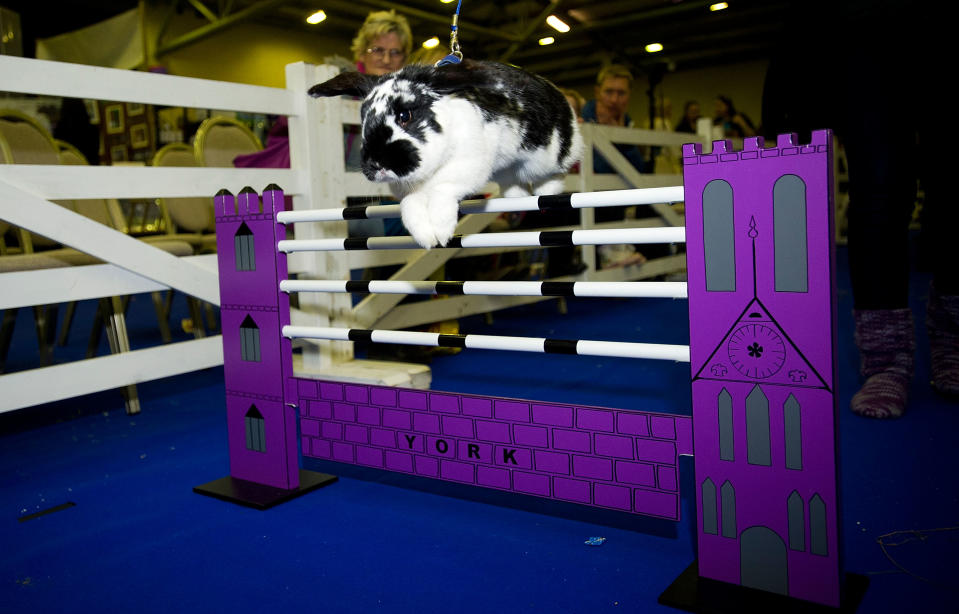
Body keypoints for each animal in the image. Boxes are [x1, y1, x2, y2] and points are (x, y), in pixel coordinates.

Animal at [308, 59, 580, 249]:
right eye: (363, 120)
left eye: (404, 115)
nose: (376, 164)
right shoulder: (410, 191)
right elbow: (409, 206)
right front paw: (426, 237)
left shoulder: (466, 168)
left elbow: (442, 192)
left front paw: (441, 230)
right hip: (507, 168)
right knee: (513, 180)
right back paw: (516, 198)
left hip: (545, 157)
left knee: (556, 171)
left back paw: (547, 193)